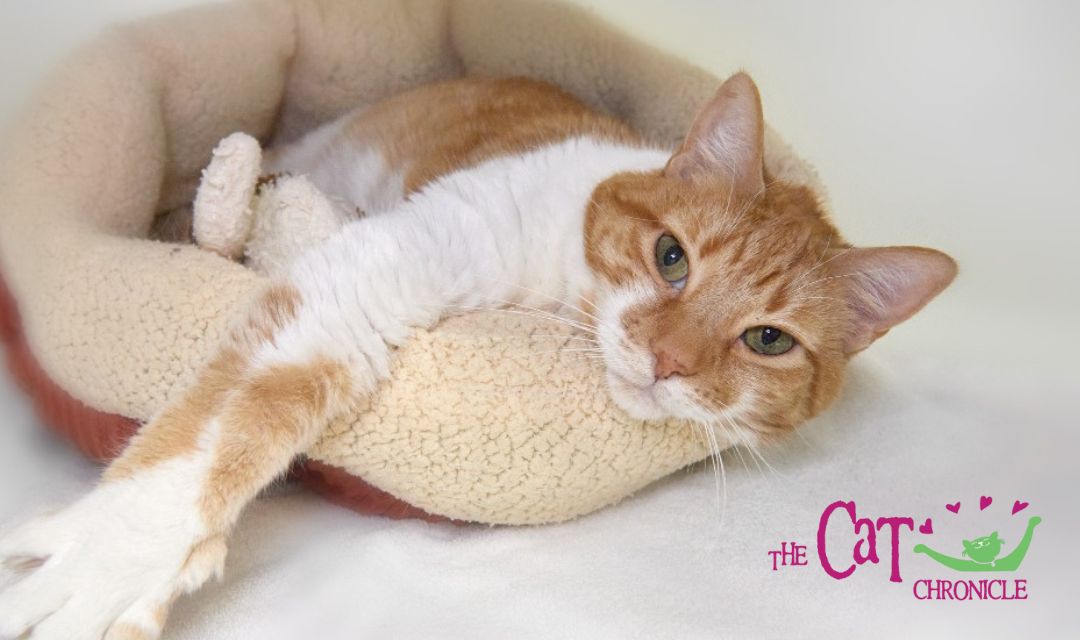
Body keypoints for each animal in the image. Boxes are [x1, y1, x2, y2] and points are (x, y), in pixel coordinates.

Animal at [0, 72, 954, 634]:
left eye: (767, 340)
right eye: (670, 257)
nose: (667, 360)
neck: (562, 292)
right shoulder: (393, 263)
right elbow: (222, 433)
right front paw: (121, 551)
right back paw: (235, 185)